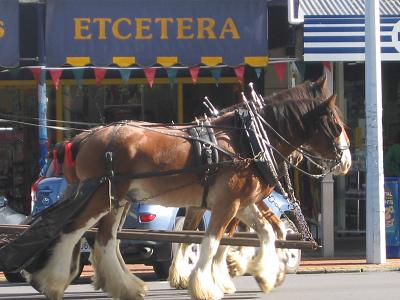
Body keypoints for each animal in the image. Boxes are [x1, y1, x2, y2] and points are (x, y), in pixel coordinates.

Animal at [24, 92, 350, 298]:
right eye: (336, 125)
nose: (346, 161)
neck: (246, 140)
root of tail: (83, 138)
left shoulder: (238, 203)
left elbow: (264, 233)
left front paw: (261, 272)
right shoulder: (227, 203)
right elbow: (211, 241)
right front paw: (207, 285)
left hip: (115, 200)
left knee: (105, 241)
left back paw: (125, 286)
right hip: (102, 197)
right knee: (73, 231)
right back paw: (53, 282)